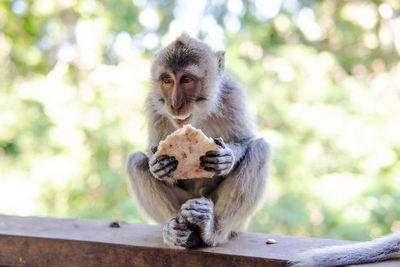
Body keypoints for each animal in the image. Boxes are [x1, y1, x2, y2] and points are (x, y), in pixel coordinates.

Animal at [125, 33, 270, 249]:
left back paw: (211, 230)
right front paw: (159, 166)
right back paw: (177, 230)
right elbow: (152, 153)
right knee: (135, 162)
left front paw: (225, 159)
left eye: (185, 79)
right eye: (167, 79)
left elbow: (245, 139)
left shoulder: (232, 93)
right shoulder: (154, 104)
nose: (175, 104)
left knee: (260, 149)